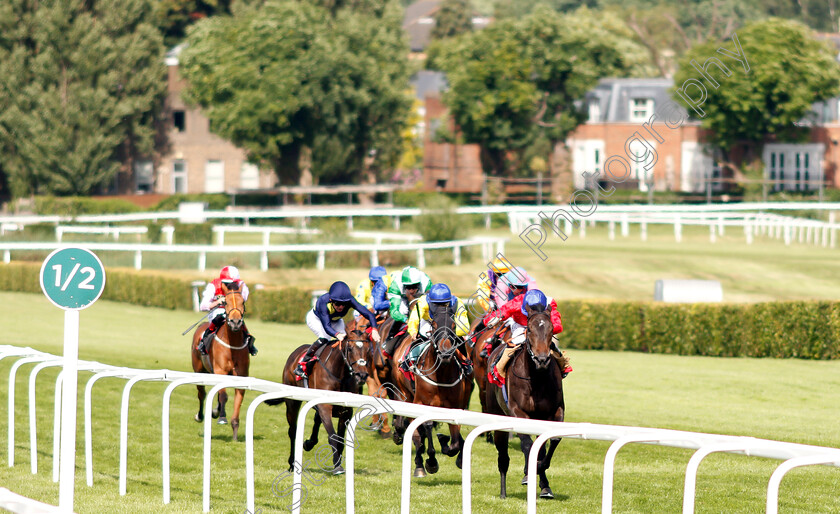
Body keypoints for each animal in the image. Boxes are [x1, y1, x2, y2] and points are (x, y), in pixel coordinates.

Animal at [192, 280, 251, 440]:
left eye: (242, 302)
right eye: (225, 302)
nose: (236, 322)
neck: (232, 345)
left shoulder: (241, 375)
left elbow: (237, 400)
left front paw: (235, 432)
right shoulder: (220, 371)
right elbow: (223, 396)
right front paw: (222, 417)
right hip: (198, 369)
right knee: (201, 393)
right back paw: (200, 416)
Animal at [276, 328, 370, 472]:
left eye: (367, 349)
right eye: (350, 348)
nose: (362, 375)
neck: (339, 374)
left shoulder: (346, 411)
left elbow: (340, 439)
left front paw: (337, 462)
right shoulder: (325, 406)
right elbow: (332, 436)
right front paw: (337, 466)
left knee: (315, 420)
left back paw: (309, 443)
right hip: (292, 402)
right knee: (293, 431)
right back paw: (292, 463)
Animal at [392, 298, 472, 474]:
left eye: (453, 325)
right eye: (434, 324)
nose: (446, 353)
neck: (441, 373)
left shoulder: (454, 405)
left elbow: (455, 443)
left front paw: (448, 445)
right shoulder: (422, 403)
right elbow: (425, 427)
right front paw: (431, 461)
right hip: (406, 394)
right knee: (415, 431)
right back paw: (419, 463)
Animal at [486, 308, 564, 496]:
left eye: (551, 329)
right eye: (529, 329)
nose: (542, 360)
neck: (537, 379)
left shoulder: (555, 410)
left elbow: (552, 441)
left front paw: (541, 475)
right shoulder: (517, 412)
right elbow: (528, 445)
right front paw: (530, 471)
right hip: (497, 414)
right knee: (503, 454)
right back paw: (503, 492)